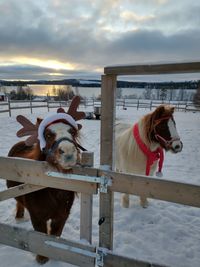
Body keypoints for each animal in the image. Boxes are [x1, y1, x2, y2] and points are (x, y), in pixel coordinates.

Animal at [6, 96, 85, 264]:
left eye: (73, 131)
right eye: (48, 135)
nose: (68, 152)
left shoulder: (62, 215)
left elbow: (55, 234)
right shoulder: (37, 217)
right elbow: (41, 236)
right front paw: (42, 258)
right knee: (19, 202)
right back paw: (19, 216)